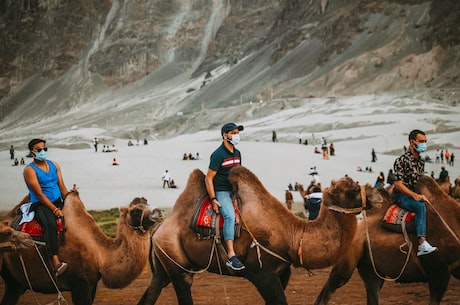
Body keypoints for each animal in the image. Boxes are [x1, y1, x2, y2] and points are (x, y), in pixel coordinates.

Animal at [0, 190, 165, 304]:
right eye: (136, 210)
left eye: (147, 201)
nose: (159, 211)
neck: (101, 254)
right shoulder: (80, 285)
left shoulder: (92, 285)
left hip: (16, 282)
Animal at [136, 166, 374, 304]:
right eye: (354, 189)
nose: (374, 195)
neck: (291, 234)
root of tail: (157, 231)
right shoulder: (261, 272)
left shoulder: (283, 271)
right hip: (175, 261)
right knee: (183, 285)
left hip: (163, 267)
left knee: (151, 292)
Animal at [314, 173, 458, 304]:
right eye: (354, 189)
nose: (329, 189)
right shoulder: (439, 269)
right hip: (348, 259)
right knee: (329, 289)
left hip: (371, 268)